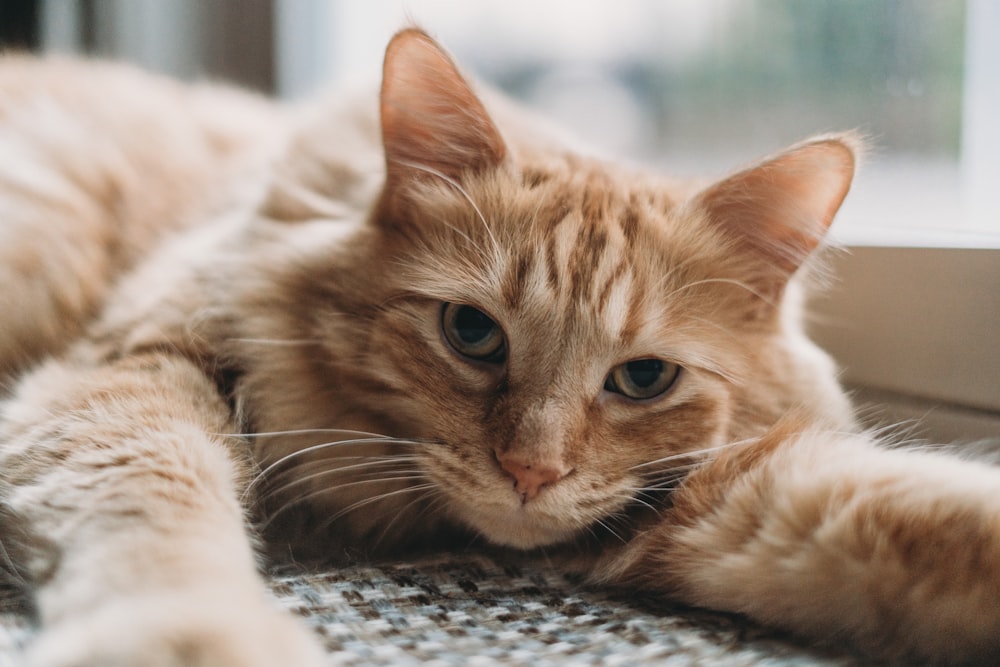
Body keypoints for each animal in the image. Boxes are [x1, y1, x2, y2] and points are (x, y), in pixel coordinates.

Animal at [1, 26, 1000, 667]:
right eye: (472, 332)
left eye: (644, 376)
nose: (531, 472)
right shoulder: (138, 364)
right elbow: (158, 507)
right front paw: (194, 640)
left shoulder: (719, 494)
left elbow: (921, 512)